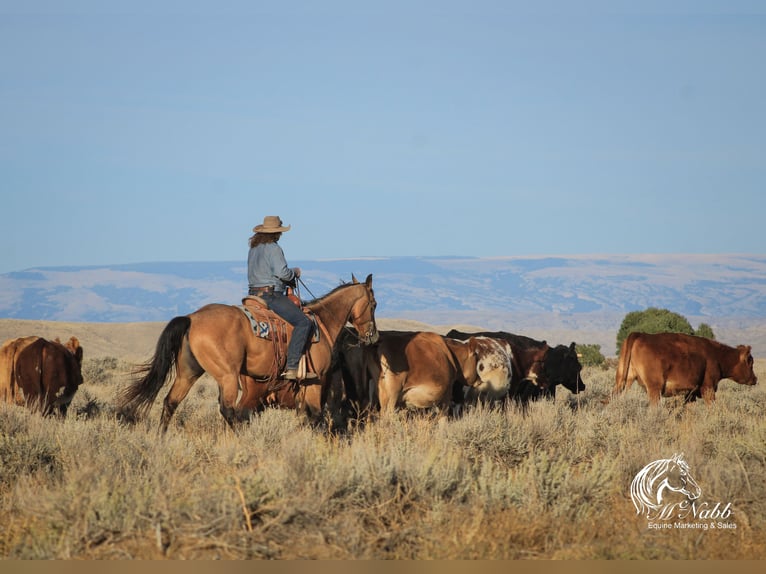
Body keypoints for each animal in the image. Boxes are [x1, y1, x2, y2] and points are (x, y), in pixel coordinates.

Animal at [118, 274, 380, 432]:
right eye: (374, 304)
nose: (373, 336)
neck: (322, 322)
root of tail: (192, 318)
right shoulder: (314, 381)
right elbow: (315, 416)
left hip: (189, 372)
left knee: (170, 402)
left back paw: (161, 440)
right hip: (227, 376)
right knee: (229, 410)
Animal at [616, 330, 760, 408]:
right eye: (750, 362)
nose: (755, 379)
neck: (717, 355)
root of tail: (641, 335)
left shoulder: (690, 394)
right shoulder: (708, 388)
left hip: (623, 381)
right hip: (654, 389)